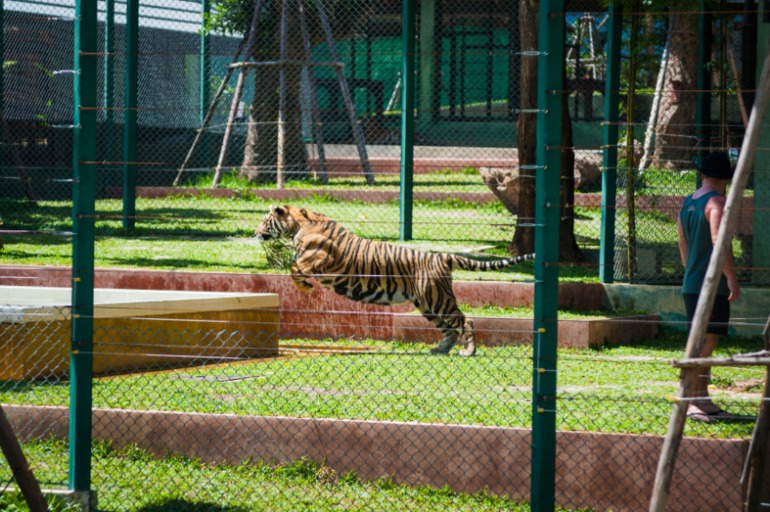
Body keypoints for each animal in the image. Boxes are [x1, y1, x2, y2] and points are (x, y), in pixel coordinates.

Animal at [255, 205, 535, 356]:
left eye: (264, 221)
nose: (255, 233)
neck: (297, 224)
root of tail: (442, 256)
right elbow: (293, 268)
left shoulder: (317, 258)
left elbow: (294, 268)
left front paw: (305, 286)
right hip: (427, 304)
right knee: (450, 329)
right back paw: (440, 350)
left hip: (438, 299)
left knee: (465, 321)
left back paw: (468, 350)